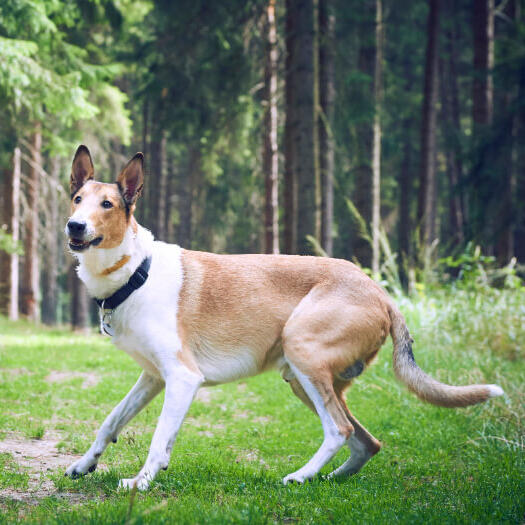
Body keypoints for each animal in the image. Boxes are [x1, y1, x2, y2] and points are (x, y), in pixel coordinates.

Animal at [63, 145, 502, 490]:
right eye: (77, 199)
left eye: (107, 205)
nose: (74, 225)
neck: (136, 272)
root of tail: (380, 292)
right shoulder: (153, 377)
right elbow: (111, 421)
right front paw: (85, 464)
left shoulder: (183, 377)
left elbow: (158, 439)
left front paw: (141, 481)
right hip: (304, 379)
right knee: (366, 441)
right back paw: (327, 479)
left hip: (302, 352)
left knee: (339, 430)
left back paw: (300, 476)